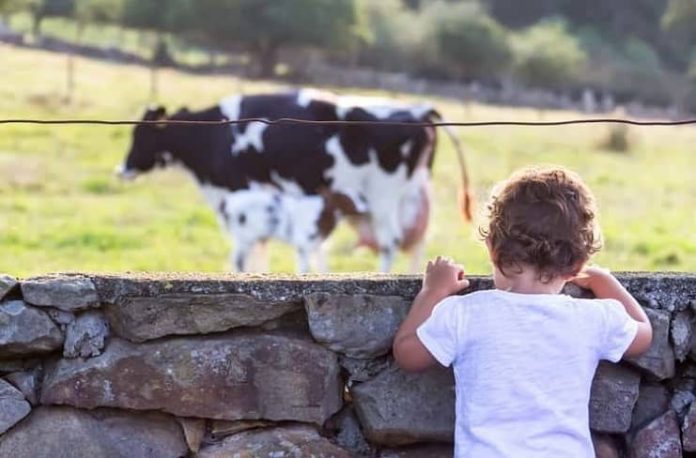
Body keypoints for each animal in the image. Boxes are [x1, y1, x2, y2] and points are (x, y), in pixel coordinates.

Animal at [118, 88, 474, 272]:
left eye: (142, 134)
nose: (121, 170)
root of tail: (421, 109)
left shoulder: (240, 188)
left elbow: (252, 246)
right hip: (411, 196)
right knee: (415, 243)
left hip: (384, 196)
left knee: (390, 243)